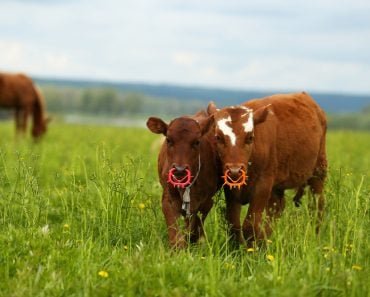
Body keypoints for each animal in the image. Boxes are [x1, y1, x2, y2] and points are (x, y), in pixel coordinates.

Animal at [146, 111, 221, 247]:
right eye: (168, 139)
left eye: (197, 142)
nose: (180, 169)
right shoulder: (168, 199)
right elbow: (175, 232)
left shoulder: (206, 202)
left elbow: (195, 227)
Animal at [208, 91, 326, 244]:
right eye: (218, 137)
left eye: (250, 138)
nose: (235, 170)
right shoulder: (231, 190)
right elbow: (233, 224)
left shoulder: (263, 186)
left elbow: (250, 226)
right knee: (277, 208)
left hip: (318, 171)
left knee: (317, 207)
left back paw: (317, 238)